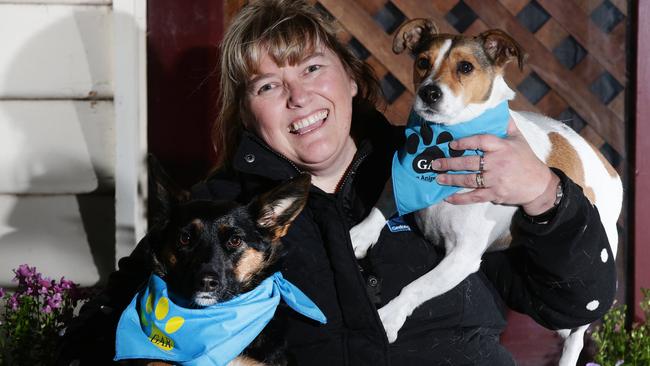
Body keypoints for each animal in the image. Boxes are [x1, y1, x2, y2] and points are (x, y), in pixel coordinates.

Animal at [350, 18, 624, 364]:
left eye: (465, 67)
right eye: (423, 62)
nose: (429, 92)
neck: (441, 145)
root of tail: (607, 166)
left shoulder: (462, 256)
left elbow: (417, 286)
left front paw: (389, 317)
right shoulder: (399, 182)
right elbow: (383, 204)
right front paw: (360, 235)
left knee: (577, 334)